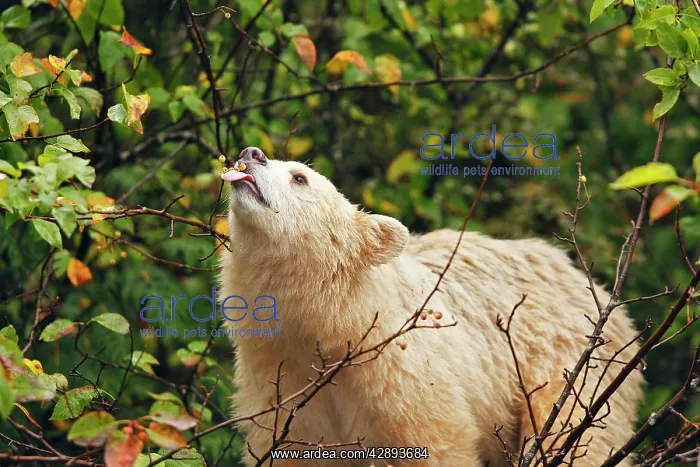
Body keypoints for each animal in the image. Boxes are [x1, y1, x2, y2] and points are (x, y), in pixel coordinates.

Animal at [217, 146, 644, 466]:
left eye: (299, 177)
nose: (250, 153)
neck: (332, 326)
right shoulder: (281, 381)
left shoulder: (403, 373)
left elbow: (436, 443)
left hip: (566, 359)